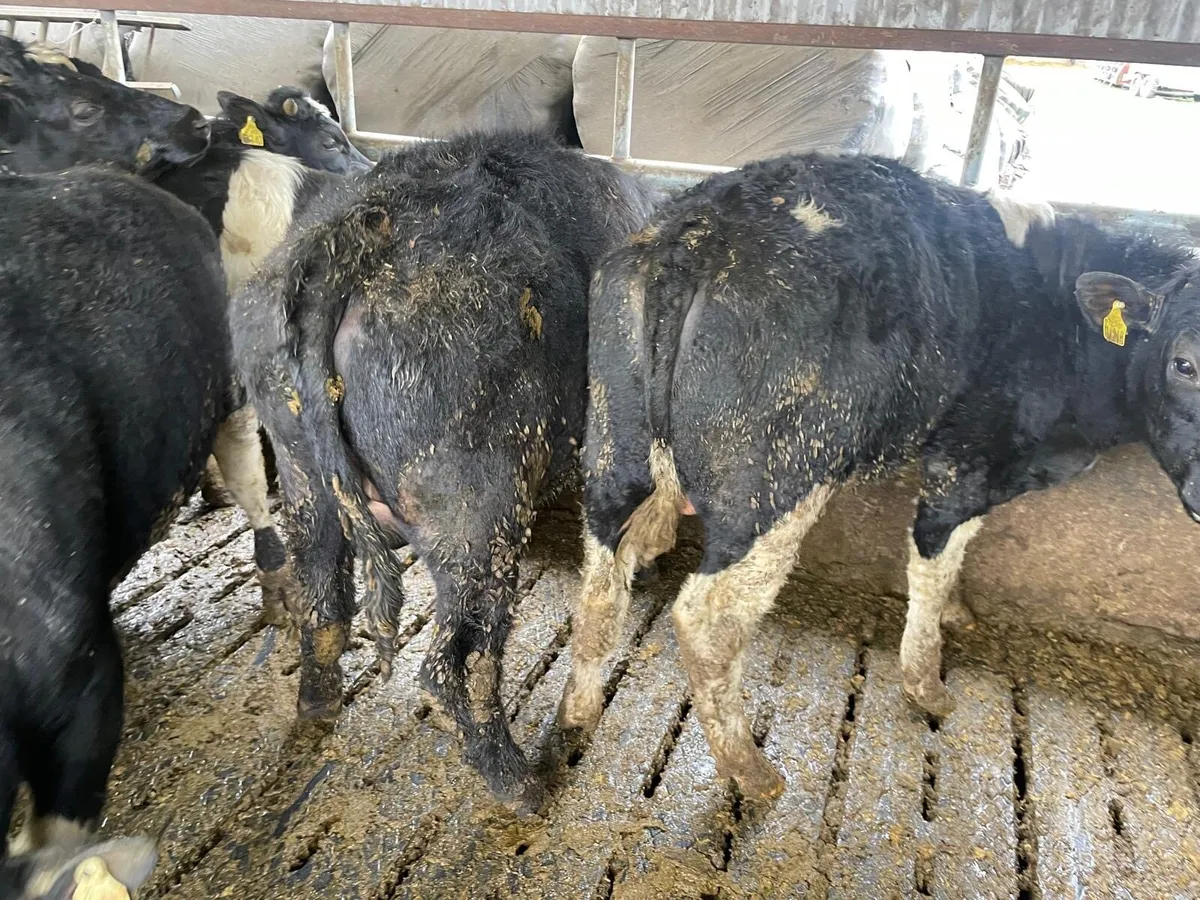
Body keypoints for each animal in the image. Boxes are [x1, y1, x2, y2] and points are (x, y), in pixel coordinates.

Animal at [231, 129, 657, 808]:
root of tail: (352, 239)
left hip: (299, 465)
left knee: (323, 603)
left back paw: (318, 713)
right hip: (477, 495)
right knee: (457, 656)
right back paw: (521, 785)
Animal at [555, 152, 1199, 801]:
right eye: (1183, 363)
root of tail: (699, 231)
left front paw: (956, 612)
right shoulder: (968, 459)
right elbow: (935, 558)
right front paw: (928, 683)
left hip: (615, 442)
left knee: (601, 579)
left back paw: (577, 712)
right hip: (778, 477)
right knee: (710, 616)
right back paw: (752, 772)